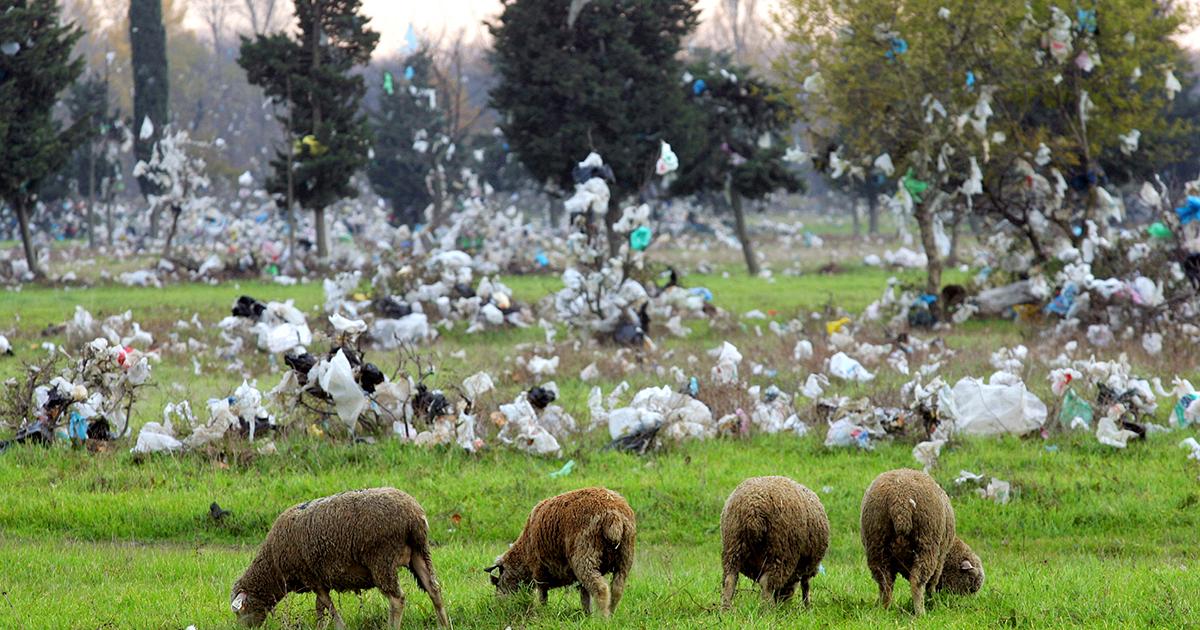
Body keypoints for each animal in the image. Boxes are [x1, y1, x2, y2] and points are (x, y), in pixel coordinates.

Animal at [229, 487, 451, 628]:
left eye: (239, 612)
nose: (243, 629)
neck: (273, 565)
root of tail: (413, 516)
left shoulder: (311, 577)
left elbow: (329, 606)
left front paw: (339, 626)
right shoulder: (318, 579)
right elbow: (320, 608)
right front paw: (320, 626)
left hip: (382, 559)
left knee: (397, 599)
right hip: (420, 553)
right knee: (434, 589)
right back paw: (444, 625)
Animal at [487, 487, 638, 614]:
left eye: (497, 583)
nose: (498, 607)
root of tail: (614, 516)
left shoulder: (539, 571)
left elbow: (543, 596)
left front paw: (542, 613)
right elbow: (585, 596)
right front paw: (586, 615)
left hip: (585, 556)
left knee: (601, 589)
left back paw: (603, 618)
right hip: (625, 557)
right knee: (617, 589)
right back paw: (610, 614)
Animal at [715, 477, 830, 609]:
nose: (783, 603)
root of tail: (753, 511)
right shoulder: (807, 567)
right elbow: (805, 586)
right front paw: (807, 607)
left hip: (733, 546)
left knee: (730, 579)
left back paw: (726, 609)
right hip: (780, 552)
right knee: (766, 583)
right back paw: (769, 610)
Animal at [864, 465, 984, 614]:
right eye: (970, 579)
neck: (951, 553)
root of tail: (901, 502)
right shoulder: (940, 559)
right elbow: (932, 584)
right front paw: (934, 603)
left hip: (876, 545)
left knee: (885, 582)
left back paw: (883, 609)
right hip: (926, 545)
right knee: (917, 581)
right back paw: (921, 612)